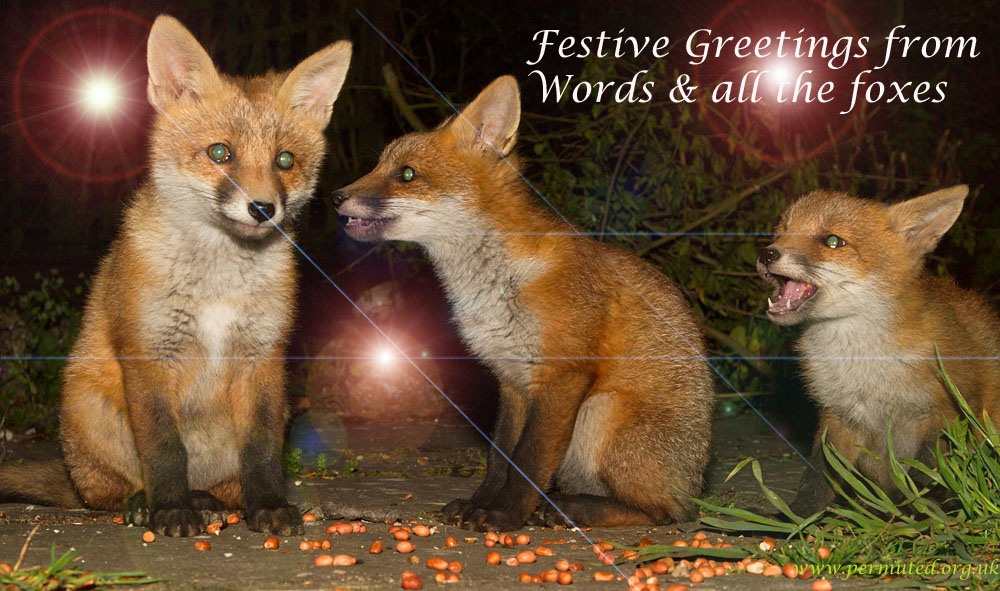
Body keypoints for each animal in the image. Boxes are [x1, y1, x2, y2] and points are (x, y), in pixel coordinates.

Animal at [0, 15, 351, 536]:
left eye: (285, 160)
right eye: (220, 153)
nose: (262, 209)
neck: (219, 280)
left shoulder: (262, 357)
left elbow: (263, 452)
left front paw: (269, 505)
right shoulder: (149, 351)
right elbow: (164, 450)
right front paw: (169, 509)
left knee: (223, 486)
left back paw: (211, 500)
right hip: (89, 411)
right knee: (107, 492)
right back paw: (144, 503)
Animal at [332, 76, 714, 531]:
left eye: (406, 174)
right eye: (378, 166)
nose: (335, 196)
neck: (494, 286)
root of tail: (696, 484)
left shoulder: (561, 374)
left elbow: (528, 461)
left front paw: (505, 515)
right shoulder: (511, 379)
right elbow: (501, 458)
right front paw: (480, 504)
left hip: (600, 410)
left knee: (662, 513)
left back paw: (573, 508)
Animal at [757, 186, 1000, 515]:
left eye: (833, 241)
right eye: (782, 230)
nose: (766, 253)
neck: (864, 367)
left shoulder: (943, 411)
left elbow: (929, 475)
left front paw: (927, 513)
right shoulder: (838, 417)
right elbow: (817, 477)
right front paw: (795, 518)